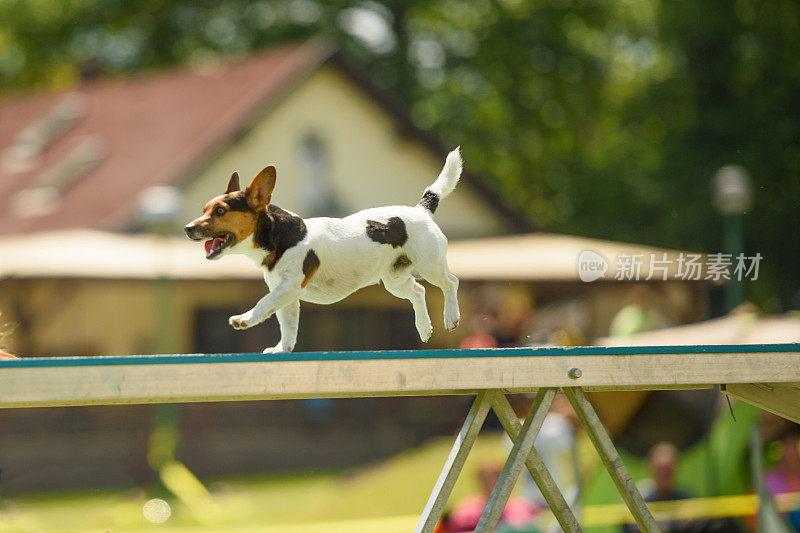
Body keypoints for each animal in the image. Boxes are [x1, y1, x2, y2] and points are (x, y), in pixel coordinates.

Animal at [185, 148, 462, 354]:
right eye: (204, 209)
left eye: (220, 211)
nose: (188, 228)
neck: (280, 236)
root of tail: (420, 210)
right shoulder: (287, 295)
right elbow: (287, 327)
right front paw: (281, 349)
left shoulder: (289, 286)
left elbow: (264, 303)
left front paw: (245, 318)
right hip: (395, 278)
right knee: (418, 291)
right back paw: (424, 327)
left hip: (430, 264)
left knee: (451, 283)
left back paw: (450, 317)